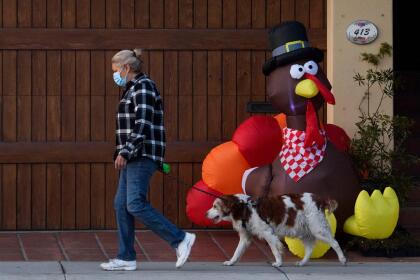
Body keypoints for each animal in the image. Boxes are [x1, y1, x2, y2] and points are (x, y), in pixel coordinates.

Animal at [207, 192, 348, 266]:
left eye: (215, 206)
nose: (205, 214)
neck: (243, 207)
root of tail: (319, 199)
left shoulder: (268, 233)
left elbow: (275, 250)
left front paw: (278, 263)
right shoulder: (246, 237)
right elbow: (237, 251)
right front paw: (231, 262)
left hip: (318, 229)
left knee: (335, 242)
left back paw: (342, 259)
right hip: (305, 231)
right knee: (309, 249)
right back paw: (302, 262)